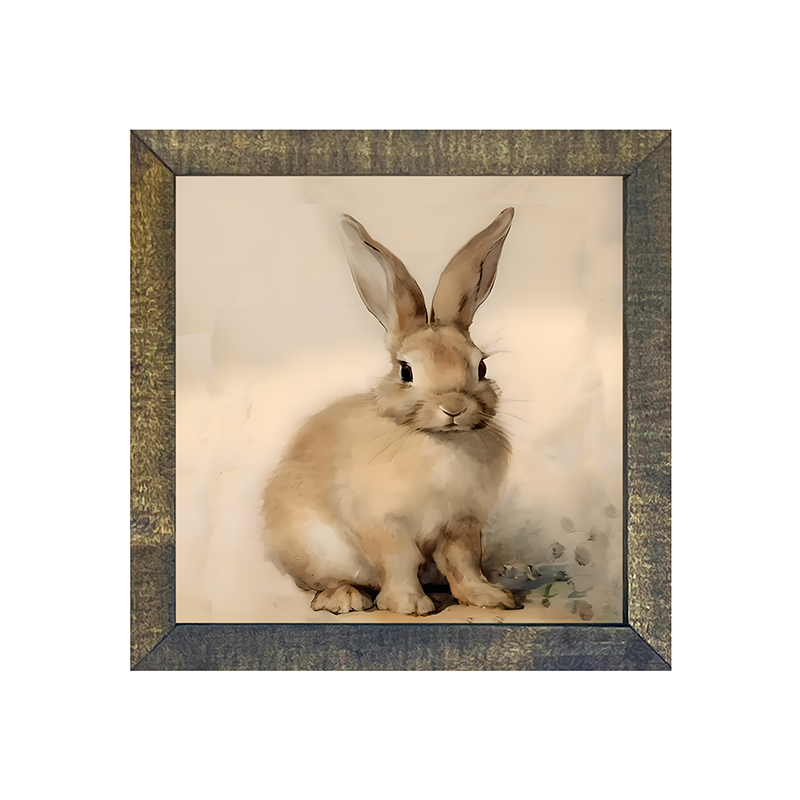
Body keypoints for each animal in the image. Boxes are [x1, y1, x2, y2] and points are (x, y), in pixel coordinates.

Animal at [261, 208, 519, 616]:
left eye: (481, 367)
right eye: (406, 371)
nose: (454, 407)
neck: (437, 441)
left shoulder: (461, 524)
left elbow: (464, 562)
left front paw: (489, 597)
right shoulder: (384, 525)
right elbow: (399, 561)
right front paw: (409, 604)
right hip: (316, 549)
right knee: (325, 582)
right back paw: (345, 598)